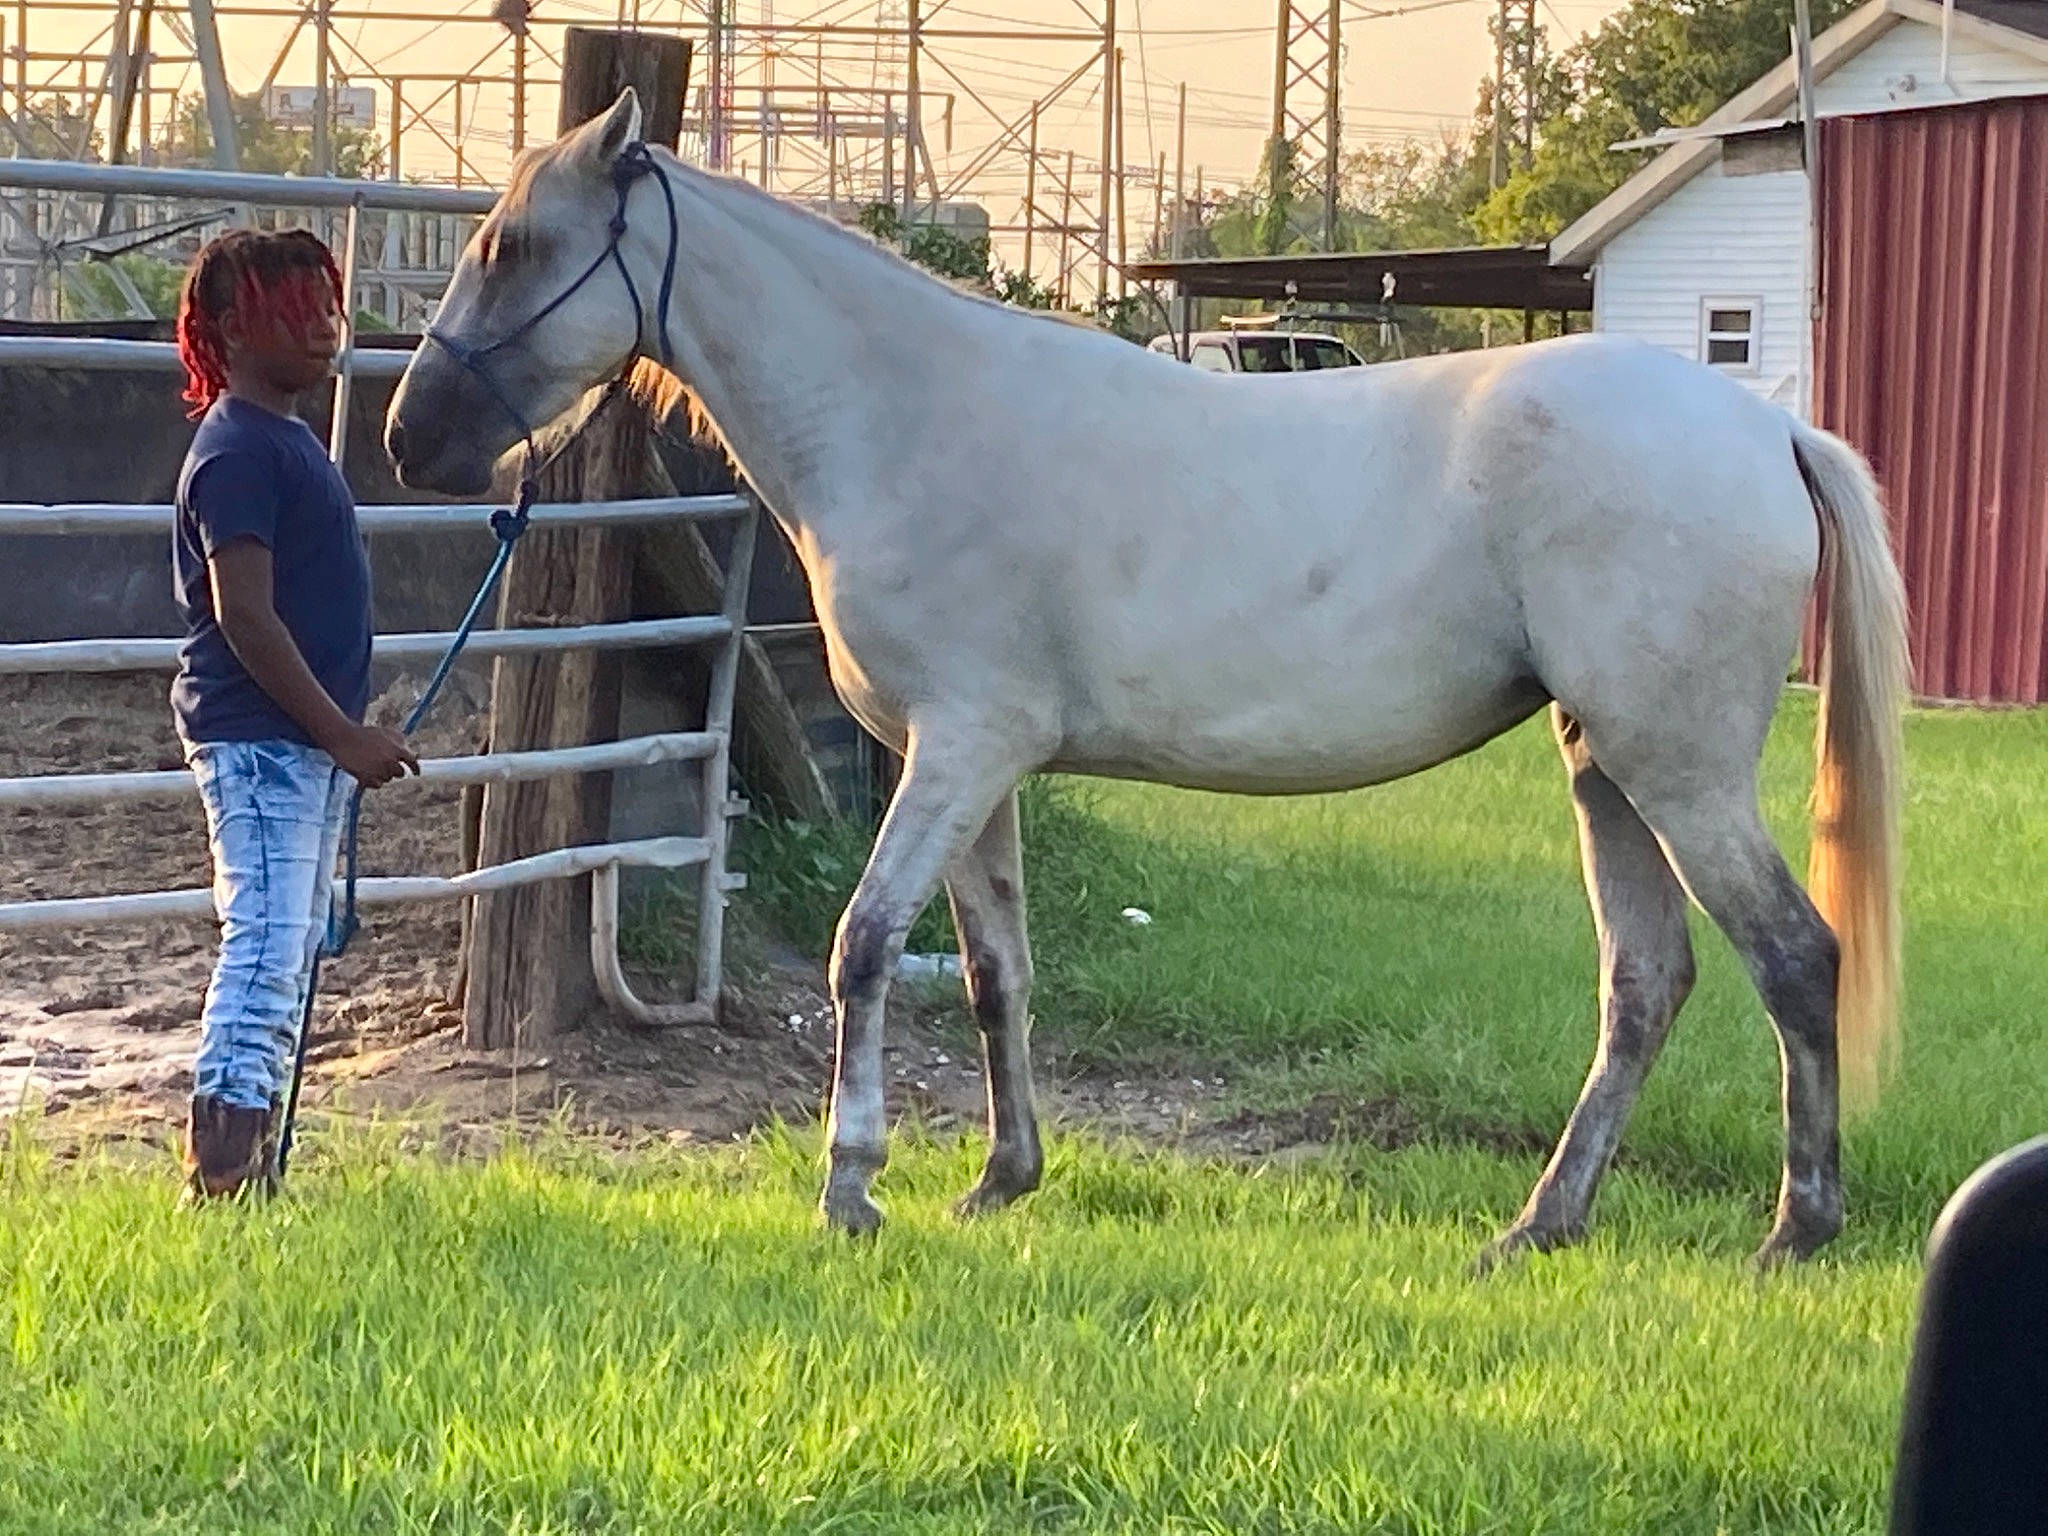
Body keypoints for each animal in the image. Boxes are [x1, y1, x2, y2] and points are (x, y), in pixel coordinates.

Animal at [385, 90, 1908, 1268]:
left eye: (513, 245)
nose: (409, 440)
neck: (909, 416)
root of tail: (1765, 431)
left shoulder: (955, 752)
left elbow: (864, 947)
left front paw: (851, 1187)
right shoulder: (981, 769)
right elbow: (994, 969)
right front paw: (998, 1180)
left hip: (1681, 771)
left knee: (1794, 957)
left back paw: (1796, 1229)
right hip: (1608, 768)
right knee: (1646, 984)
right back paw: (1539, 1226)